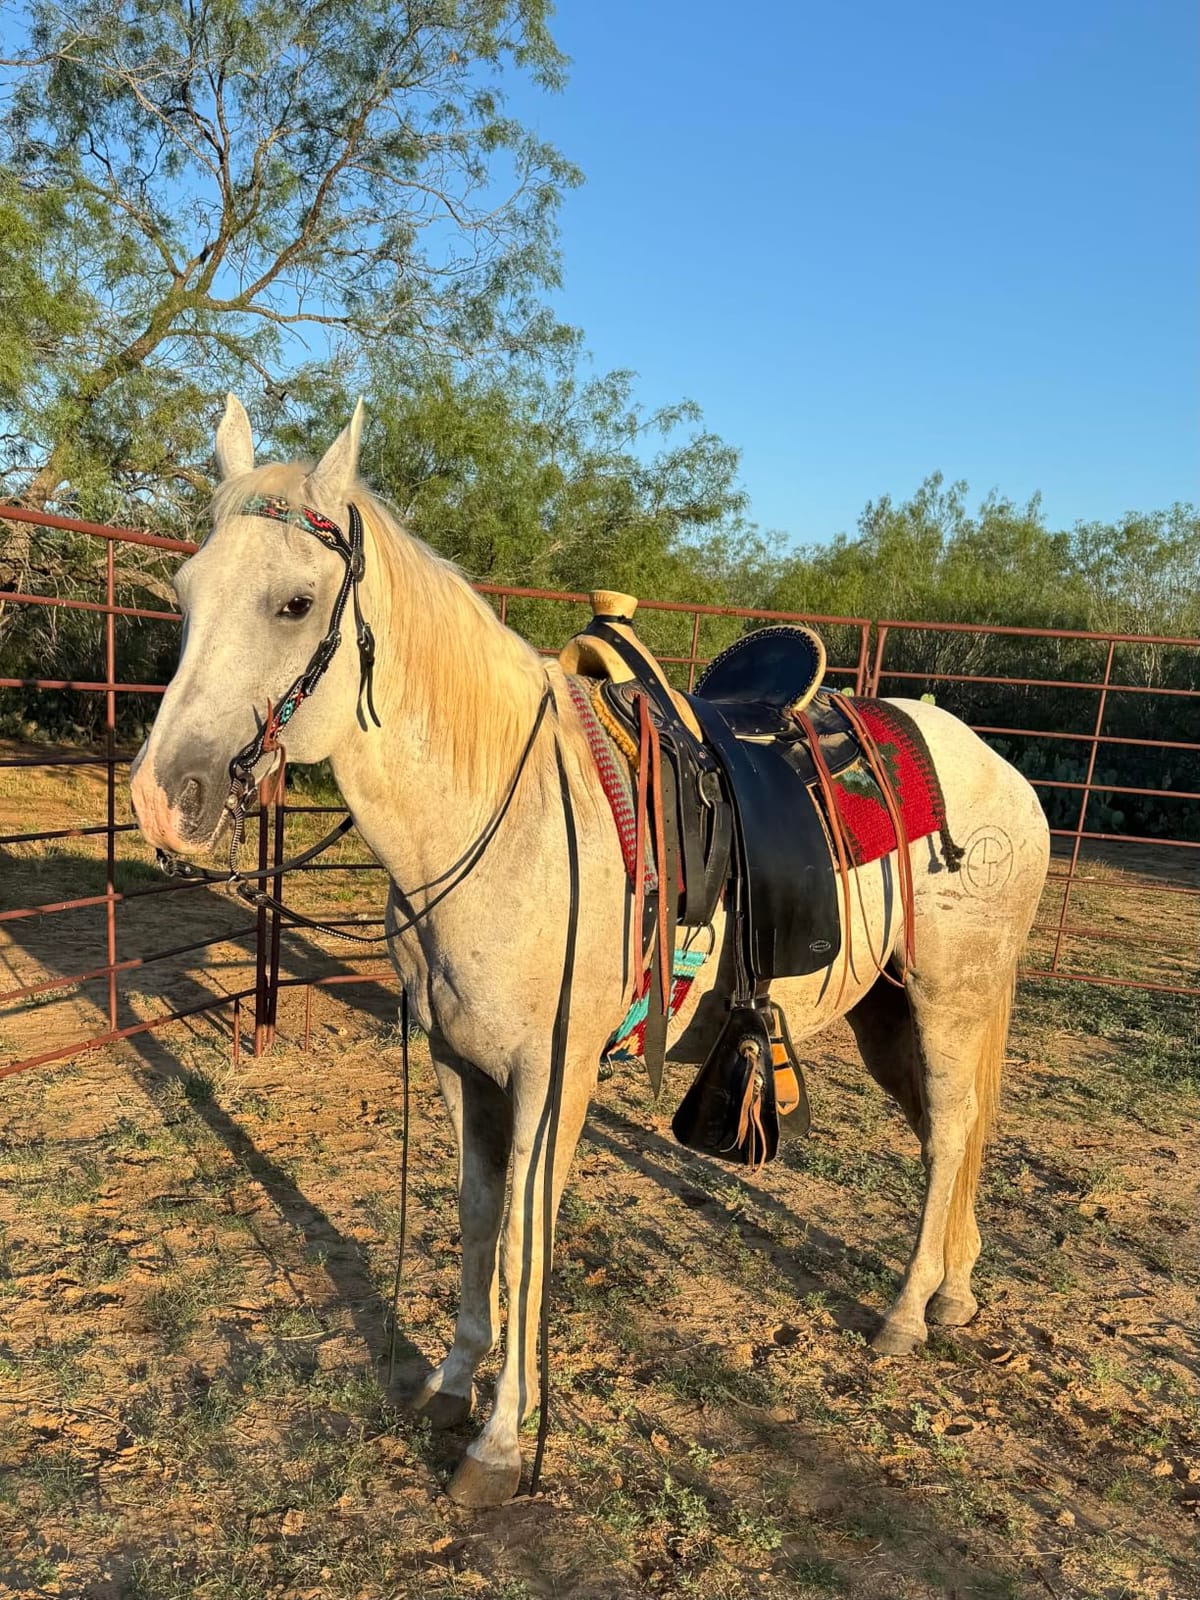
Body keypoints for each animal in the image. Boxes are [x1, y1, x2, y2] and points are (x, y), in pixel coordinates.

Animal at [130, 396, 1051, 1507]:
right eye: (184, 594)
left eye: (296, 602)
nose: (162, 798)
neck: (506, 815)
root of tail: (1001, 770)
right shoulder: (464, 1067)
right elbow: (478, 1217)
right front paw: (452, 1384)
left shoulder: (552, 1073)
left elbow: (525, 1237)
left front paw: (500, 1442)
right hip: (889, 1014)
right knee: (945, 1138)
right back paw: (955, 1292)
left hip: (954, 999)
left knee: (953, 1132)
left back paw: (908, 1313)